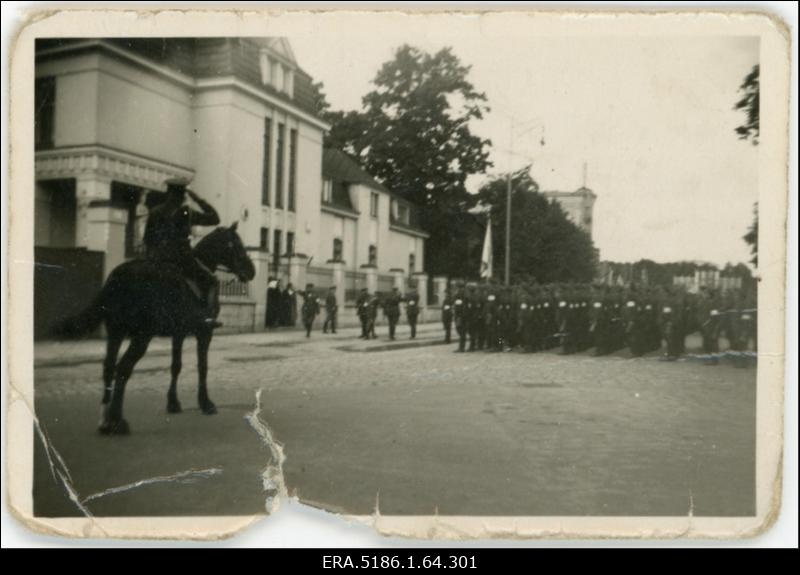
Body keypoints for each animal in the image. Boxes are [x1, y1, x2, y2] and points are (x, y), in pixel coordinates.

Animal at [56, 223, 255, 434]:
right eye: (237, 245)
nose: (251, 270)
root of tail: (118, 276)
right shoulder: (204, 332)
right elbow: (203, 367)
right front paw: (206, 403)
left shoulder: (179, 333)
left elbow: (176, 366)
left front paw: (173, 403)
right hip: (142, 336)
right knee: (123, 368)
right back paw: (117, 420)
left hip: (116, 331)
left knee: (108, 367)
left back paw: (104, 419)